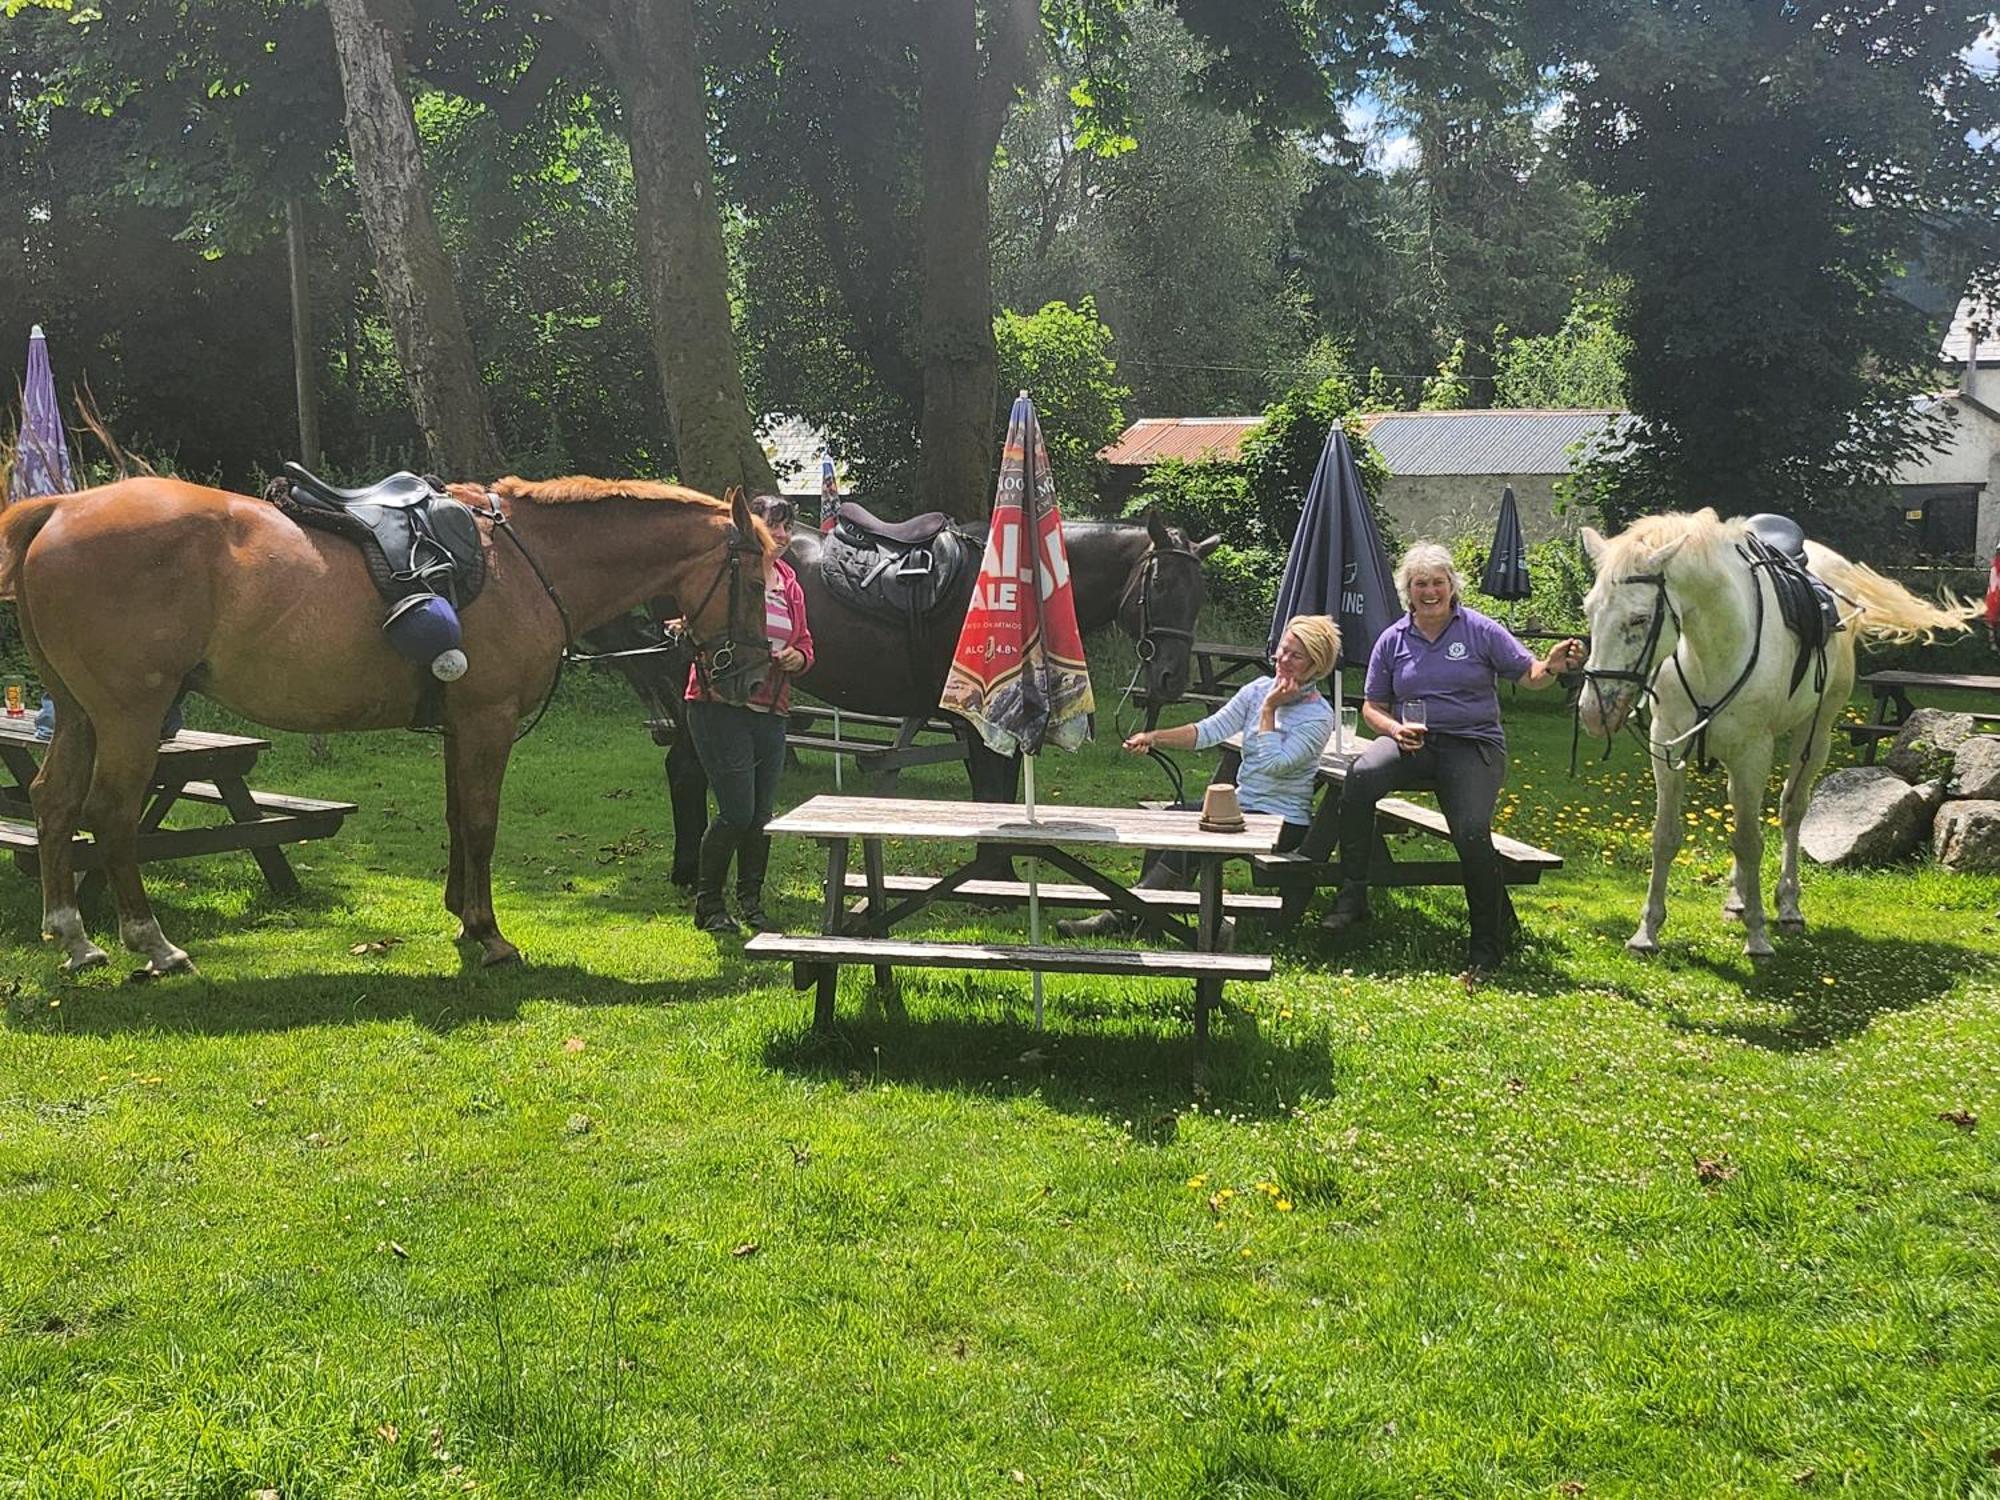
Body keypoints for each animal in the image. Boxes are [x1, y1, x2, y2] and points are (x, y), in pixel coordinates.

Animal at [1, 476, 772, 980]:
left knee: (52, 801)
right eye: (765, 583)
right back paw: (151, 942)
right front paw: (490, 935)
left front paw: (462, 913)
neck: (527, 562)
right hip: (130, 716)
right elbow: (483, 824)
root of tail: (61, 508)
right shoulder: (488, 720)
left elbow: (459, 819)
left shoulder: (461, 725)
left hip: (80, 714)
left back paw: (74, 936)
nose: (752, 679)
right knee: (110, 815)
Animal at [1576, 516, 1984, 964]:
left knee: (1791, 813)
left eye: (1638, 619)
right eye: (1589, 610)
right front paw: (1646, 932)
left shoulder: (1754, 752)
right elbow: (1666, 837)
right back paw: (1738, 899)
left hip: (1815, 735)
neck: (1711, 648)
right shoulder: (1668, 748)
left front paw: (1757, 936)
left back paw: (1787, 905)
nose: (1593, 712)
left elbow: (1750, 841)